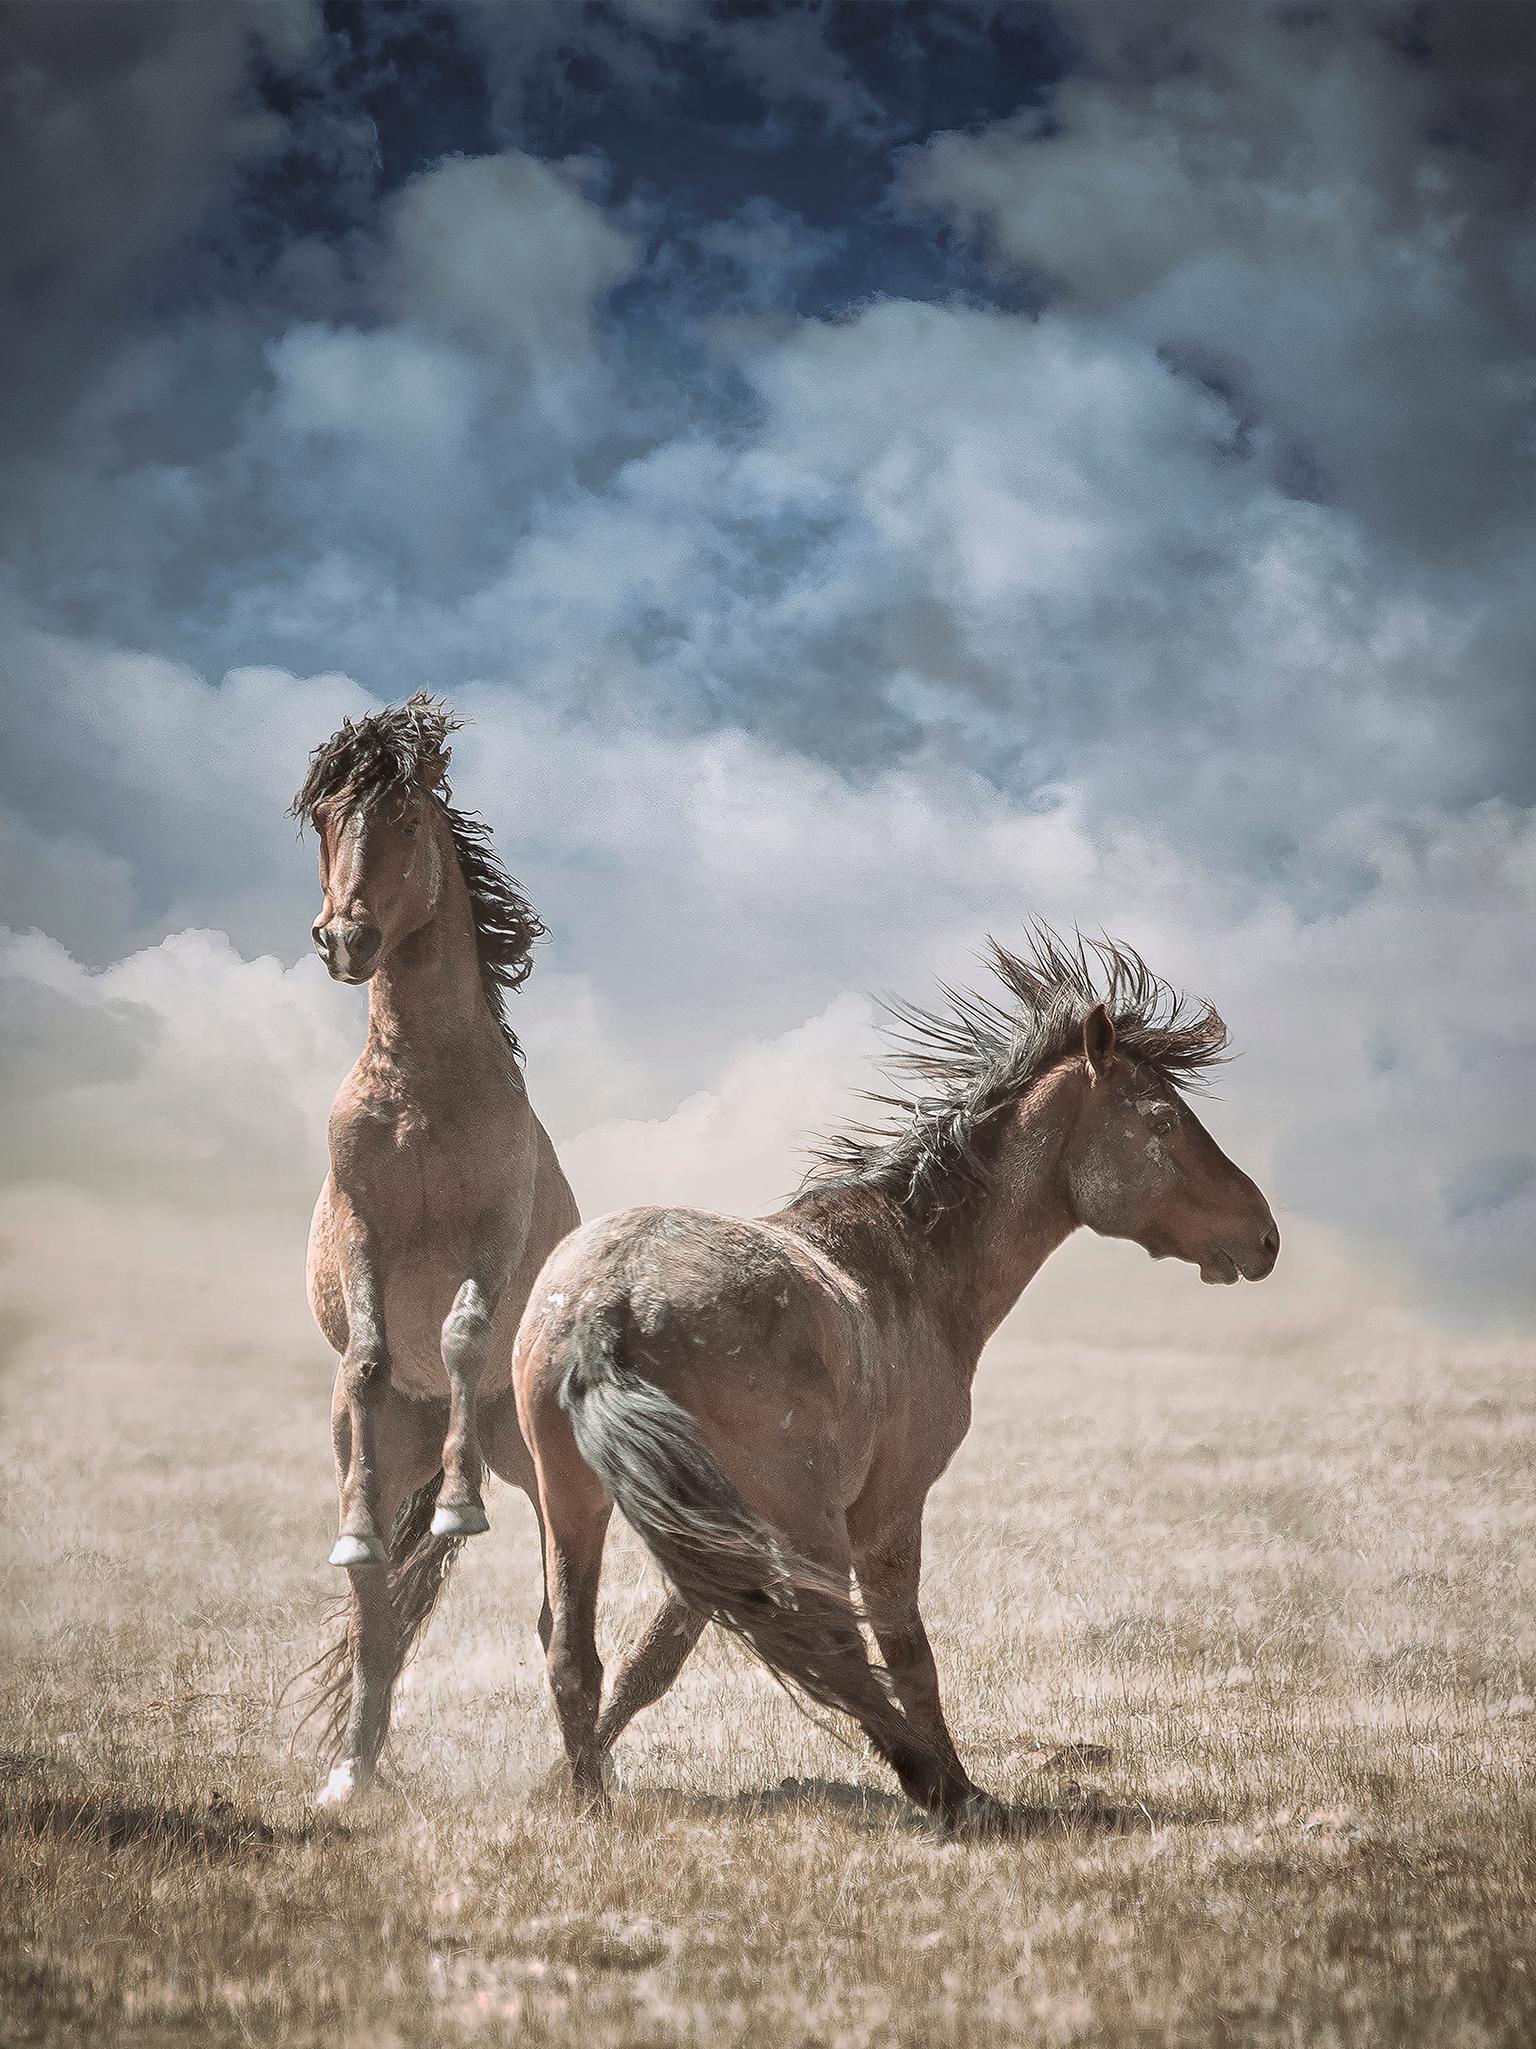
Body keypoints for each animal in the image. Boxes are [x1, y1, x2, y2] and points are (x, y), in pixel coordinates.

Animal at [292, 693, 693, 1806]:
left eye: (404, 817)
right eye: (325, 819)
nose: (344, 937)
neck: (422, 1082)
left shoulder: (495, 1230)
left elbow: (465, 1332)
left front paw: (460, 1510)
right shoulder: (362, 1228)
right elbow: (372, 1354)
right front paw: (363, 1519)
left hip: (546, 1468)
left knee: (557, 1611)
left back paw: (584, 1776)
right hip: (391, 1449)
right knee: (376, 1620)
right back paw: (351, 1774)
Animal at [513, 928, 1280, 1829]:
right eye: (1161, 1120)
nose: (1264, 1235)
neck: (911, 1261)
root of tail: (611, 1302)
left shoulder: (710, 1528)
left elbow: (654, 1655)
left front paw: (574, 1779)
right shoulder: (883, 1514)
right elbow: (908, 1654)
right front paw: (960, 1788)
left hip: (577, 1506)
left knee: (575, 1651)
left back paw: (588, 1793)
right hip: (795, 1520)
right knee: (833, 1644)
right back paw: (931, 1781)